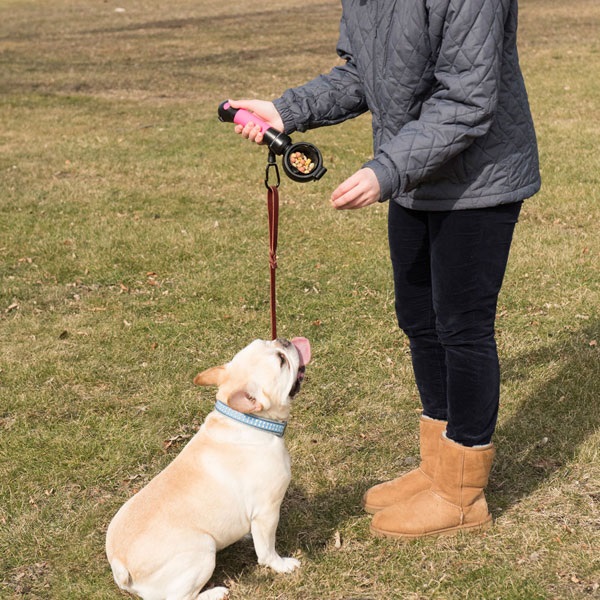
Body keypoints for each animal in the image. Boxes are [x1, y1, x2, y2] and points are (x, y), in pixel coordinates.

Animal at [106, 338, 312, 600]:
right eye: (281, 361)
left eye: (265, 340)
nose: (283, 341)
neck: (248, 421)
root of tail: (120, 566)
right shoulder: (267, 512)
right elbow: (266, 551)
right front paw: (282, 565)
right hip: (203, 550)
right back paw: (215, 592)